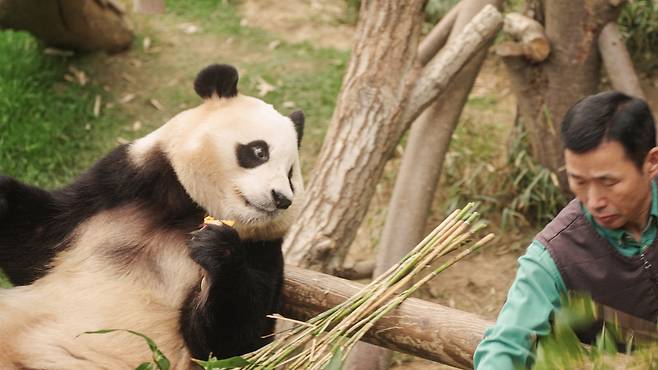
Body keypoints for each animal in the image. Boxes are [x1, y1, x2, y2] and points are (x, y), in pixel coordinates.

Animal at [0, 64, 304, 370]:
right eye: (259, 151)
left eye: (291, 174)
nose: (282, 198)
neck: (188, 211)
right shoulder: (120, 183)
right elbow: (36, 242)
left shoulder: (262, 248)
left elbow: (237, 343)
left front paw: (218, 248)